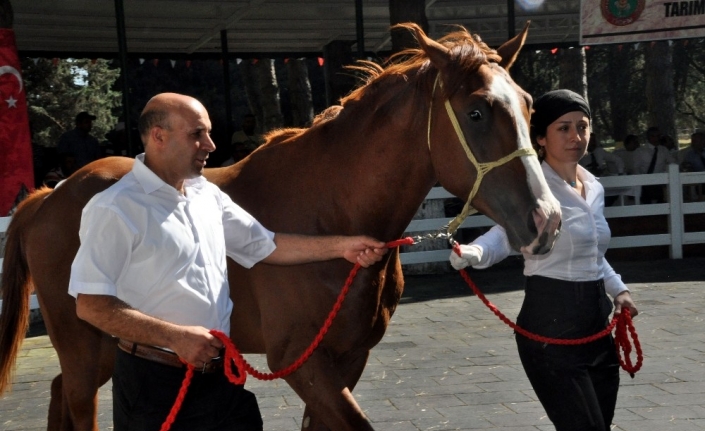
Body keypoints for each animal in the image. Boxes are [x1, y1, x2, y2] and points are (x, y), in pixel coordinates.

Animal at [1, 24, 560, 431]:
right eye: (476, 112)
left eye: (529, 104)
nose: (547, 220)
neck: (330, 207)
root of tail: (48, 197)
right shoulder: (299, 359)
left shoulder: (345, 357)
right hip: (86, 348)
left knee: (57, 393)